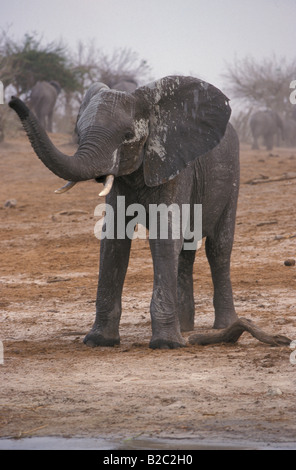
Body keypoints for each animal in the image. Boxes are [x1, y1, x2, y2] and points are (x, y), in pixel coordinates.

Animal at [9, 75, 240, 348]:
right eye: (79, 133)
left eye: (128, 135)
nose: (12, 100)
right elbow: (114, 238)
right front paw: (99, 341)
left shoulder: (172, 164)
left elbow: (163, 235)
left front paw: (166, 344)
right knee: (186, 250)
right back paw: (185, 328)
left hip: (233, 178)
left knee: (218, 248)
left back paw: (223, 327)